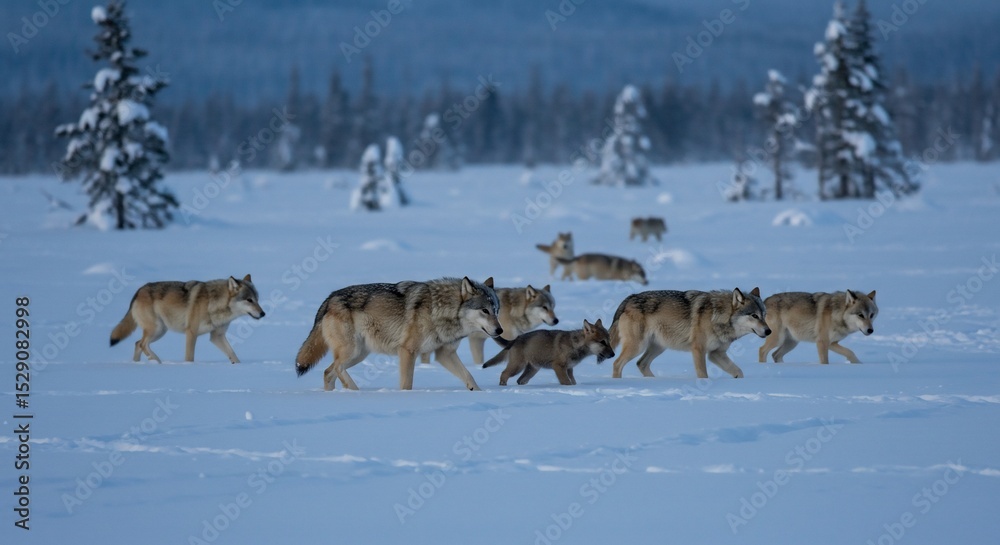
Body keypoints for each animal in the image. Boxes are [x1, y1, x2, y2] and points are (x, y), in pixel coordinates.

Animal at [109, 274, 265, 364]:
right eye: (249, 300)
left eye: (257, 299)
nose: (263, 313)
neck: (213, 304)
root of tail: (138, 291)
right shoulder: (191, 333)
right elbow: (189, 358)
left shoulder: (217, 336)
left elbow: (233, 355)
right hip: (157, 329)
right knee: (142, 344)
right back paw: (158, 362)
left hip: (160, 331)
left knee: (137, 343)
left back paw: (138, 364)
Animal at [295, 277, 501, 391]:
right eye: (484, 311)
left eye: (496, 311)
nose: (500, 330)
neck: (442, 309)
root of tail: (329, 298)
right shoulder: (408, 351)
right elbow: (406, 384)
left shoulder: (444, 353)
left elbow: (469, 376)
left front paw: (479, 392)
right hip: (353, 352)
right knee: (336, 368)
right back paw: (355, 391)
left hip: (360, 354)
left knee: (328, 372)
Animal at [483, 319, 615, 386]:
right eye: (602, 342)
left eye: (609, 341)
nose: (613, 354)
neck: (575, 345)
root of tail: (516, 339)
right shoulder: (558, 367)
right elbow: (566, 382)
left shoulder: (569, 369)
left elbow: (573, 382)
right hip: (517, 367)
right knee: (504, 374)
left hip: (532, 370)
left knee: (520, 381)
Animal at [608, 288, 769, 379]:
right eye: (754, 316)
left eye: (764, 315)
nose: (769, 331)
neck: (718, 316)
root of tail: (629, 298)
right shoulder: (698, 350)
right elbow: (703, 375)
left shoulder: (716, 354)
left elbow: (739, 372)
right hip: (638, 347)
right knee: (617, 363)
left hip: (658, 347)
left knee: (641, 363)